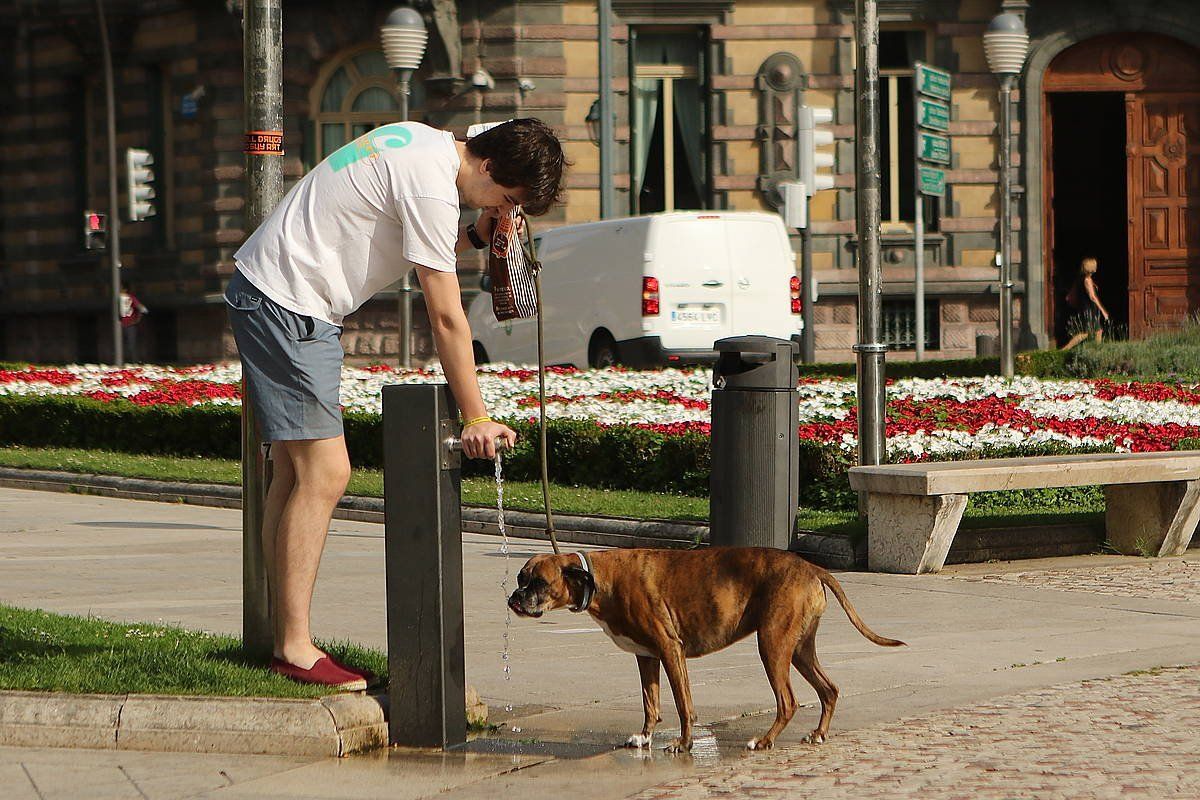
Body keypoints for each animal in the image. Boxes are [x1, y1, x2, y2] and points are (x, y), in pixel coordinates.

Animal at [508, 546, 907, 753]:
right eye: (520, 578)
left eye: (539, 582)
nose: (514, 598)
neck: (598, 578)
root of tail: (811, 567)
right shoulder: (647, 658)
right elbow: (651, 704)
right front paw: (645, 737)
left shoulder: (670, 651)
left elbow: (684, 706)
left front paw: (683, 744)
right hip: (799, 650)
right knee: (829, 689)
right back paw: (818, 734)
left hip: (772, 646)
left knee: (788, 701)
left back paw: (764, 741)